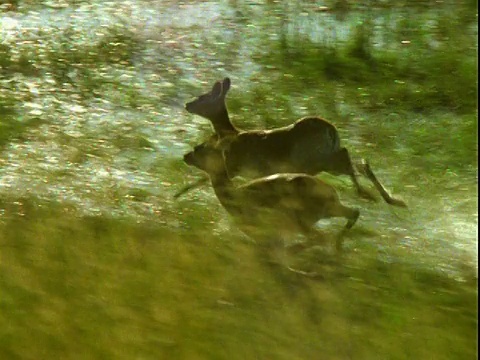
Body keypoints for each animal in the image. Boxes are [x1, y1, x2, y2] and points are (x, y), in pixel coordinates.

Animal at [178, 79, 406, 208]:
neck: (231, 134)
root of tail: (330, 130)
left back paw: (369, 194)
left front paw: (180, 193)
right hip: (322, 160)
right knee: (355, 160)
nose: (187, 104)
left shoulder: (235, 165)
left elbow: (206, 178)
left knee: (350, 161)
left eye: (203, 97)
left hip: (316, 159)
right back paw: (391, 199)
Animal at [184, 139, 360, 274]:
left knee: (322, 236)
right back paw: (337, 251)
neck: (237, 198)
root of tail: (330, 190)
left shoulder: (271, 234)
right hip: (330, 210)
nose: (186, 156)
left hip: (303, 220)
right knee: (353, 213)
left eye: (199, 148)